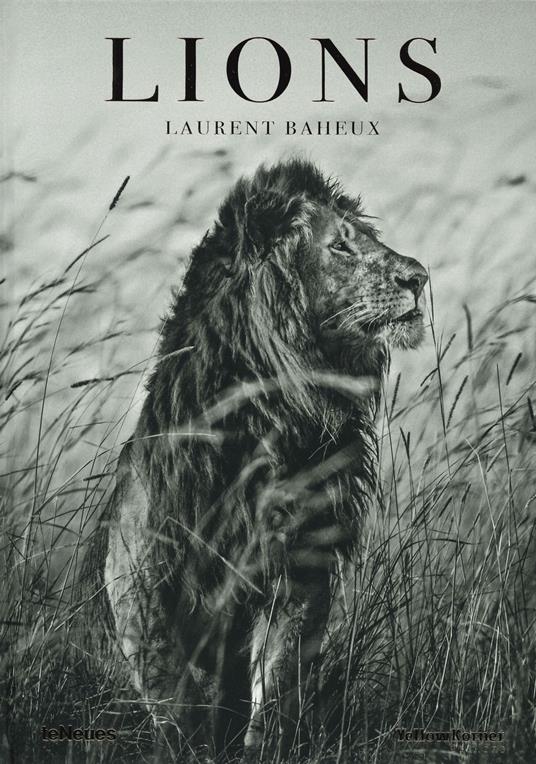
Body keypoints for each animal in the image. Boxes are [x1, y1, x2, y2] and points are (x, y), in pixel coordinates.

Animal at [80, 158, 428, 761]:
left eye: (368, 237)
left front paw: (260, 747)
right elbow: (173, 690)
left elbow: (277, 681)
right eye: (341, 244)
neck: (272, 419)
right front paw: (187, 746)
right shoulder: (139, 573)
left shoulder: (298, 569)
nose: (420, 277)